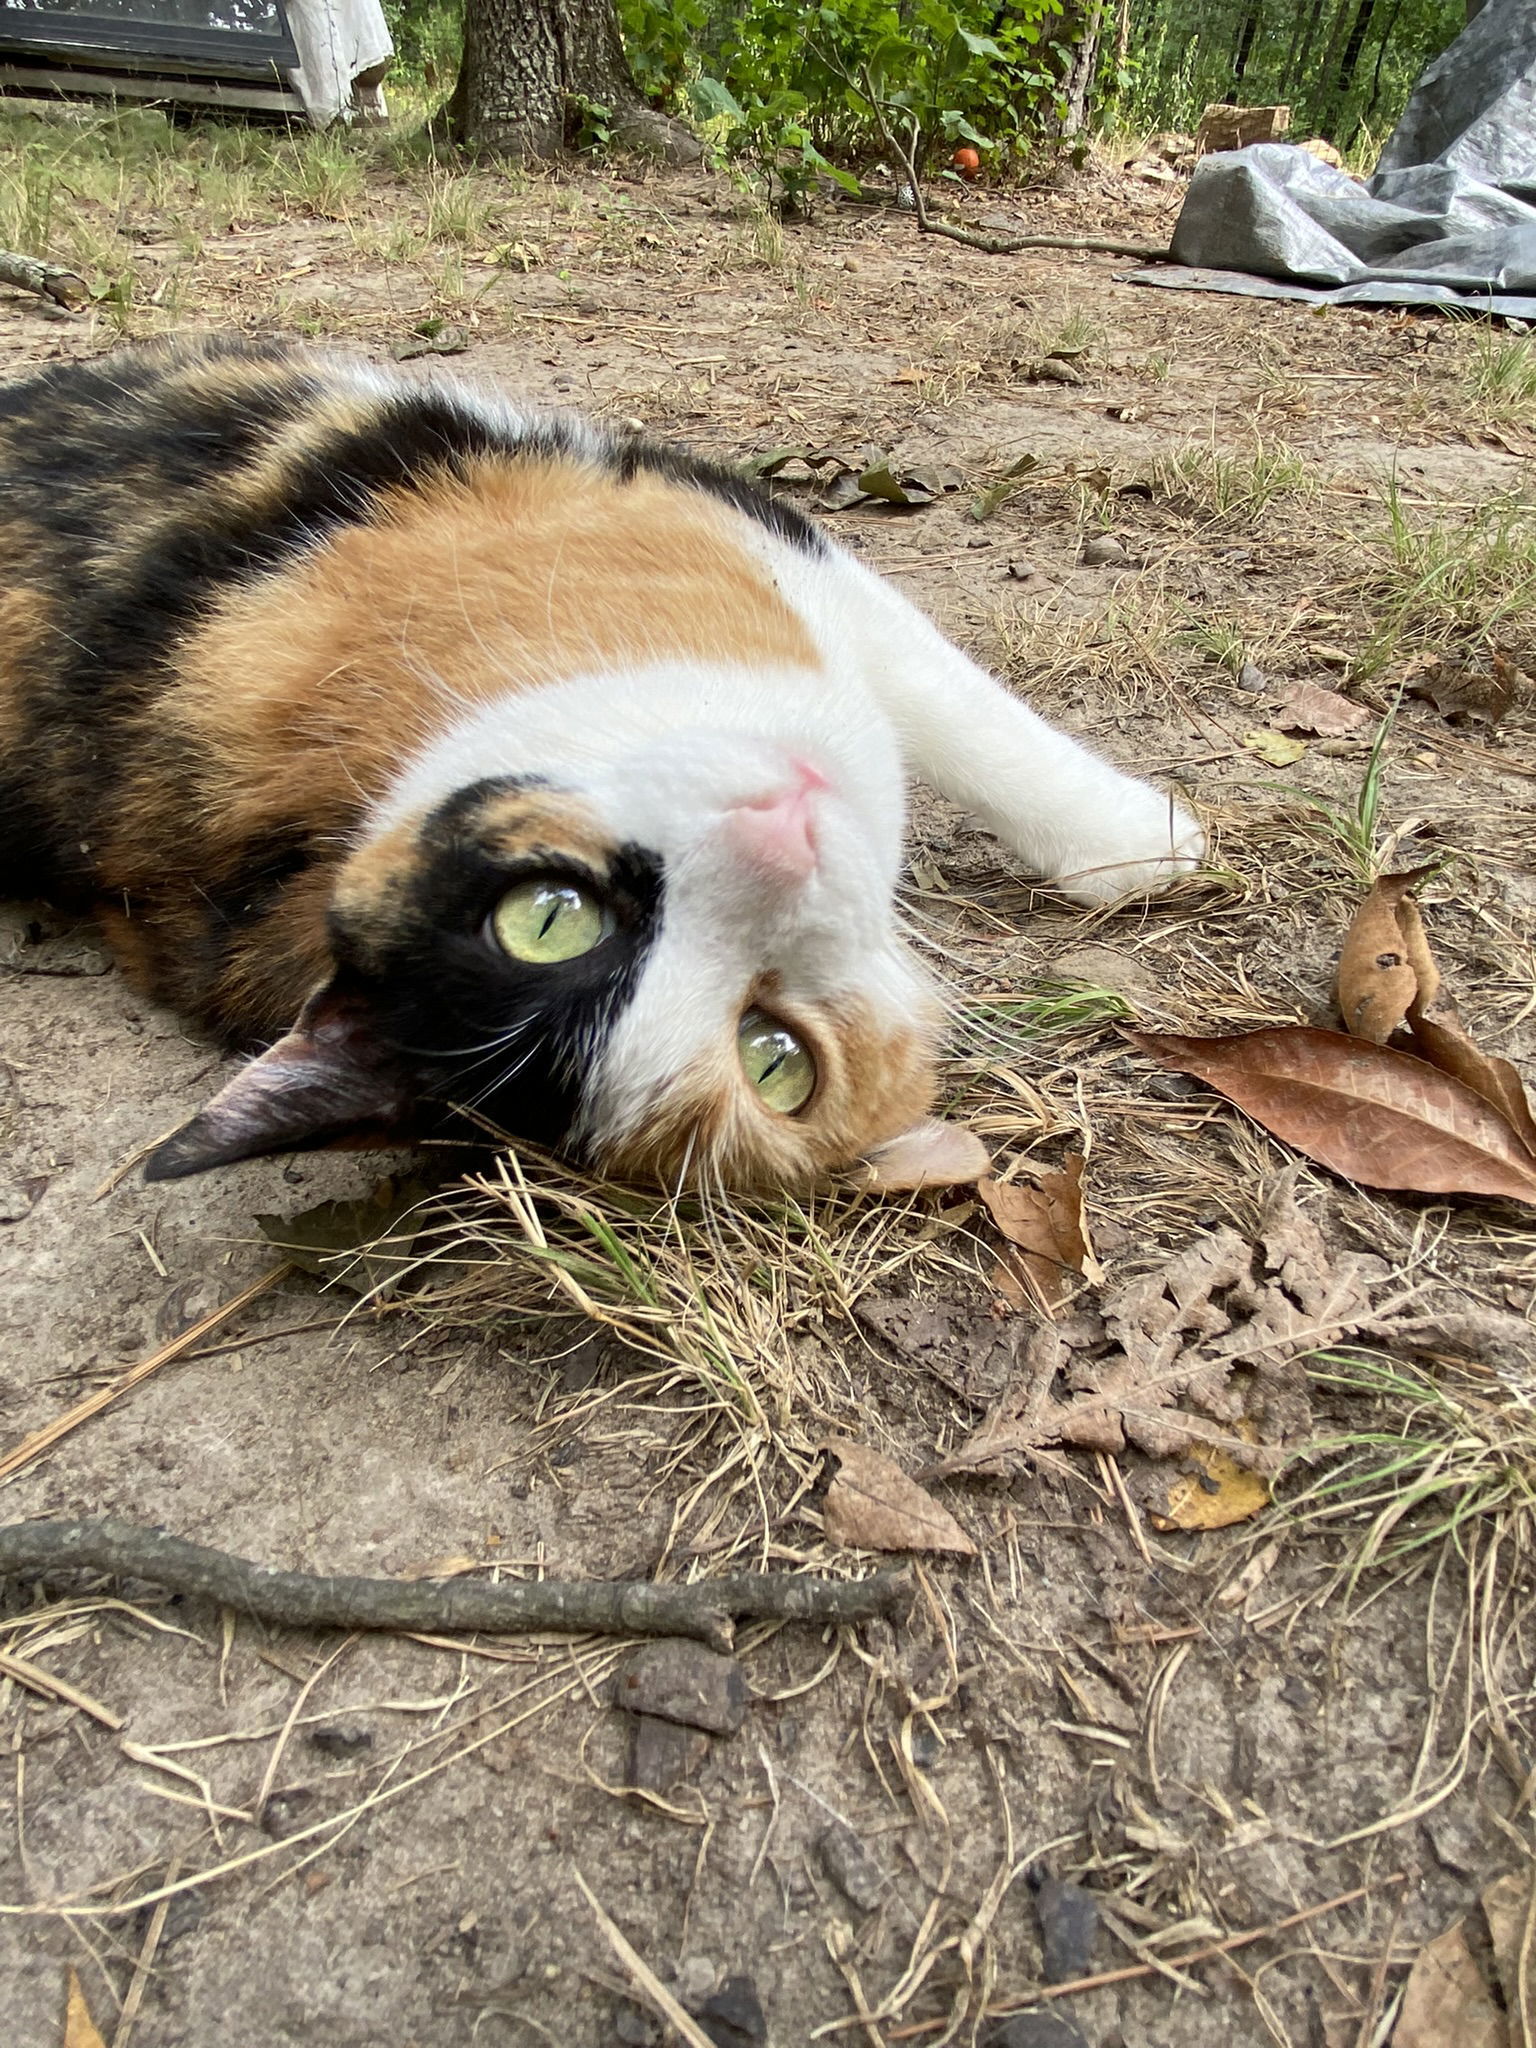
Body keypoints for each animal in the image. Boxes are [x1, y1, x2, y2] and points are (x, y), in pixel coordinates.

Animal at [0, 344, 1204, 1196]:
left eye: (546, 916)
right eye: (775, 1058)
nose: (781, 835)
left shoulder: (749, 538)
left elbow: (953, 704)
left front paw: (1139, 840)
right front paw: (1145, 836)